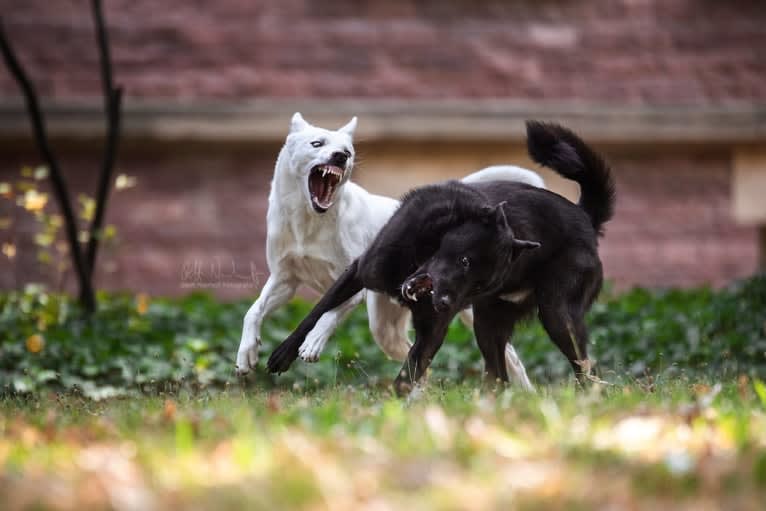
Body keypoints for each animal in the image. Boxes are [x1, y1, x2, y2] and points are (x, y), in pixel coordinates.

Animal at [237, 113, 544, 388]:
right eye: (317, 143)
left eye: (348, 151)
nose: (341, 156)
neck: (309, 222)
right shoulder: (285, 280)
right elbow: (254, 310)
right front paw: (246, 354)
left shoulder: (352, 283)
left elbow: (328, 314)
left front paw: (313, 342)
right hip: (387, 329)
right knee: (417, 358)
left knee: (511, 360)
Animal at [270, 121, 616, 396]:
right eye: (465, 262)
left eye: (481, 284)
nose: (448, 303)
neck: (424, 248)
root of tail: (585, 218)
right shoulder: (359, 271)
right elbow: (316, 311)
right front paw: (283, 353)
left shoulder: (433, 329)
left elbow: (410, 371)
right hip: (489, 324)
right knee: (499, 375)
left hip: (555, 314)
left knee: (584, 366)